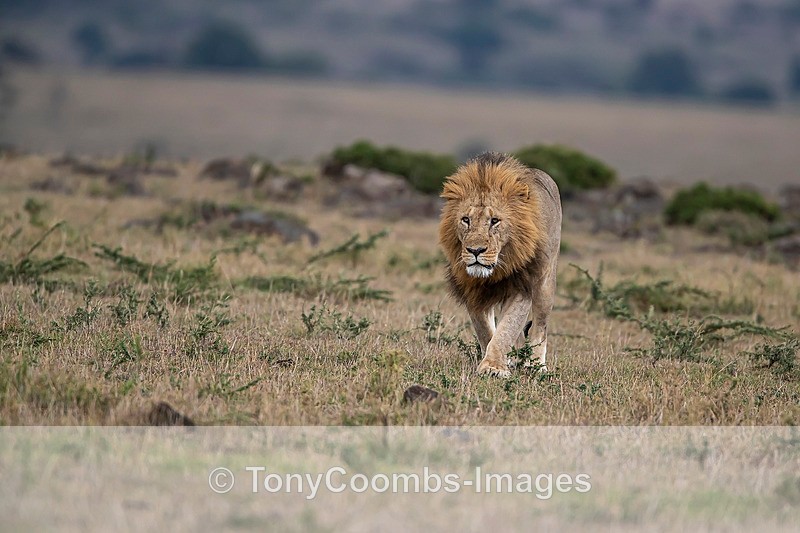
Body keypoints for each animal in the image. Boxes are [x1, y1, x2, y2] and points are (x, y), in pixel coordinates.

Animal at [439, 152, 562, 377]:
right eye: (466, 219)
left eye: (495, 221)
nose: (475, 250)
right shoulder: (473, 291)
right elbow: (486, 331)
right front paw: (497, 362)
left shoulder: (522, 286)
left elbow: (506, 330)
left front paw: (493, 367)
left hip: (546, 283)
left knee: (540, 326)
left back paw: (537, 366)